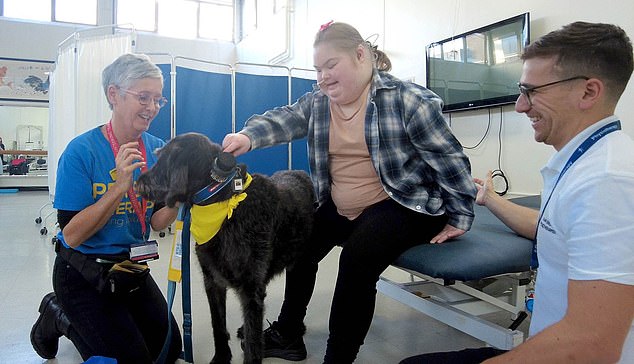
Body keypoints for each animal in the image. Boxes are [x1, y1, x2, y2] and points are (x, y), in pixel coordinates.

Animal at [139, 132, 316, 362]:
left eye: (162, 159)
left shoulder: (251, 289)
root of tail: (300, 172)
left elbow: (253, 342)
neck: (219, 203)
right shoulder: (213, 281)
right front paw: (222, 356)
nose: (138, 182)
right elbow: (218, 326)